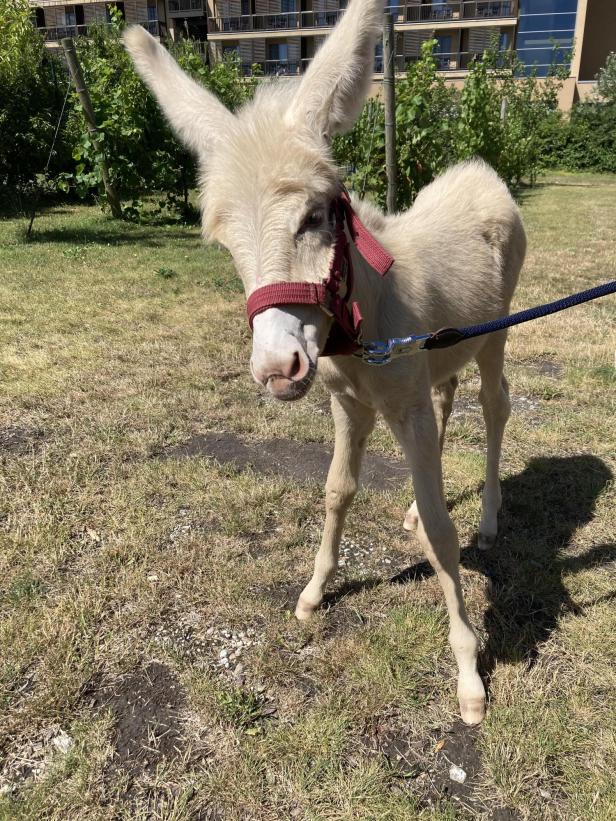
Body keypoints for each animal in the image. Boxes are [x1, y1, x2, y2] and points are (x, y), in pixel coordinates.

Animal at [124, 0, 524, 724]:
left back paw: (487, 517)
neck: (364, 317)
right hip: (445, 352)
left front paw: (468, 675)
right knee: (448, 397)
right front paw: (314, 592)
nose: (276, 368)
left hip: (496, 333)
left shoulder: (401, 404)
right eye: (224, 241)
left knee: (493, 404)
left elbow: (443, 536)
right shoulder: (349, 403)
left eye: (313, 217)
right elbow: (337, 490)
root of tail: (480, 169)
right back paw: (416, 510)